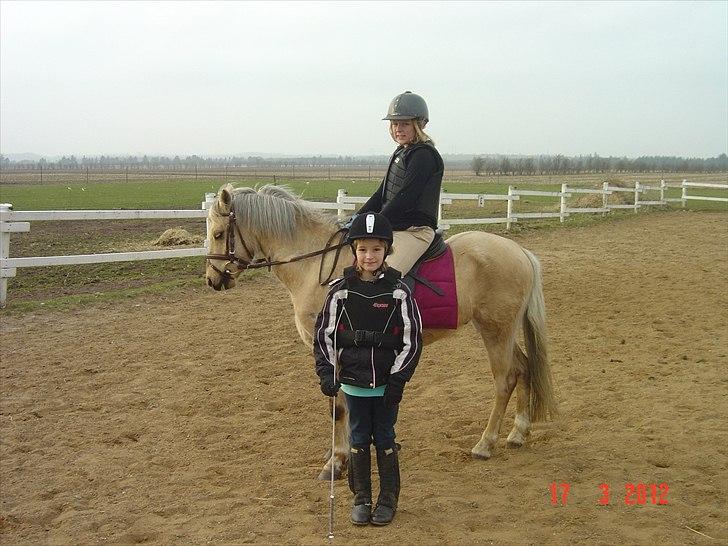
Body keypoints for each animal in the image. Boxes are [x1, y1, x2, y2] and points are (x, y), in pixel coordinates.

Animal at [205, 183, 556, 476]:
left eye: (220, 233)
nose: (212, 279)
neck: (316, 266)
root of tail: (520, 252)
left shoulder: (333, 348)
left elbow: (338, 407)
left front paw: (336, 462)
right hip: (501, 331)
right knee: (524, 368)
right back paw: (518, 432)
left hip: (496, 331)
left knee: (505, 380)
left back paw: (485, 443)